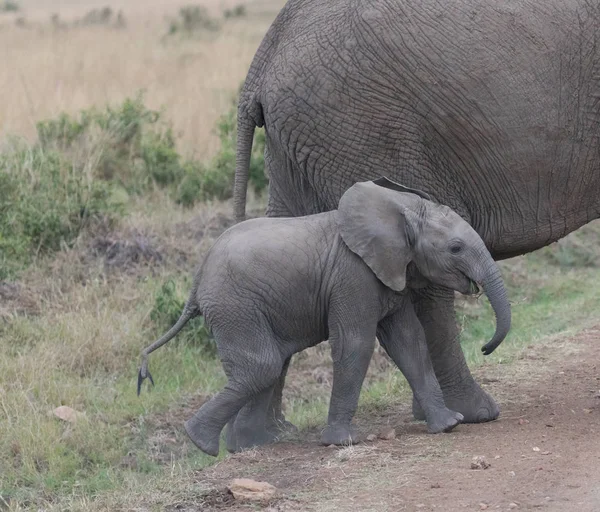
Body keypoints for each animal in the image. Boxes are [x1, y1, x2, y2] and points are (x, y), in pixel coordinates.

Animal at [137, 177, 510, 456]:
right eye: (456, 248)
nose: (485, 348)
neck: (401, 208)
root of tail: (198, 278)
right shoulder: (353, 275)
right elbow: (356, 344)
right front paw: (342, 442)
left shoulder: (391, 272)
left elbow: (410, 342)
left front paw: (449, 424)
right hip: (235, 306)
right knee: (264, 365)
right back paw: (201, 441)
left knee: (268, 365)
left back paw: (252, 444)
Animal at [231, 0, 600, 430]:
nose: (487, 348)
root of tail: (263, 61)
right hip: (366, 129)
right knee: (426, 286)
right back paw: (470, 413)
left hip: (300, 146)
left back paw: (261, 434)